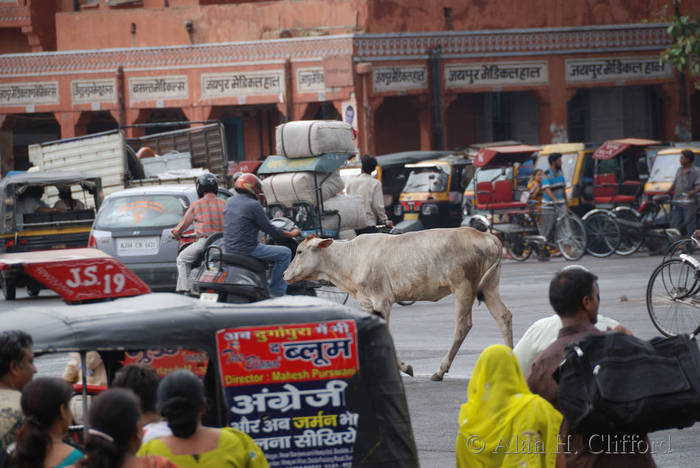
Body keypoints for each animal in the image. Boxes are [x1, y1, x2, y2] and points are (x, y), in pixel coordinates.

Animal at [283, 227, 513, 381]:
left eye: (300, 251)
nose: (285, 274)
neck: (349, 260)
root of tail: (487, 236)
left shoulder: (382, 300)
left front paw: (403, 367)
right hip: (489, 286)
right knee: (503, 316)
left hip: (464, 286)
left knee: (463, 325)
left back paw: (440, 370)